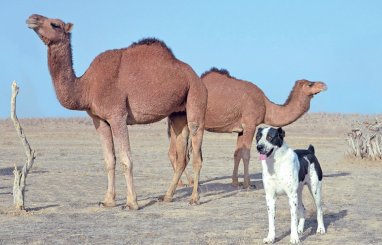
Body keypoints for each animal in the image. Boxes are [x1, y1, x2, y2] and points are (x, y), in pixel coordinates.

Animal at [26, 13, 207, 209]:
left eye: (55, 24)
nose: (32, 18)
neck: (86, 86)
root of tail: (196, 76)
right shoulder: (99, 120)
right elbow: (109, 160)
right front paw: (108, 200)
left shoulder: (117, 116)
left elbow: (126, 160)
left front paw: (132, 203)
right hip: (177, 114)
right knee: (182, 156)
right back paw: (167, 196)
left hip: (196, 96)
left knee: (196, 151)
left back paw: (194, 198)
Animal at [169, 68, 326, 189]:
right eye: (310, 84)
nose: (324, 84)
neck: (266, 106)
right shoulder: (250, 124)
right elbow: (246, 154)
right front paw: (248, 184)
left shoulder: (241, 130)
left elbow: (237, 154)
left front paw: (235, 183)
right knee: (177, 153)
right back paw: (184, 183)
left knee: (177, 152)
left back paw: (186, 182)